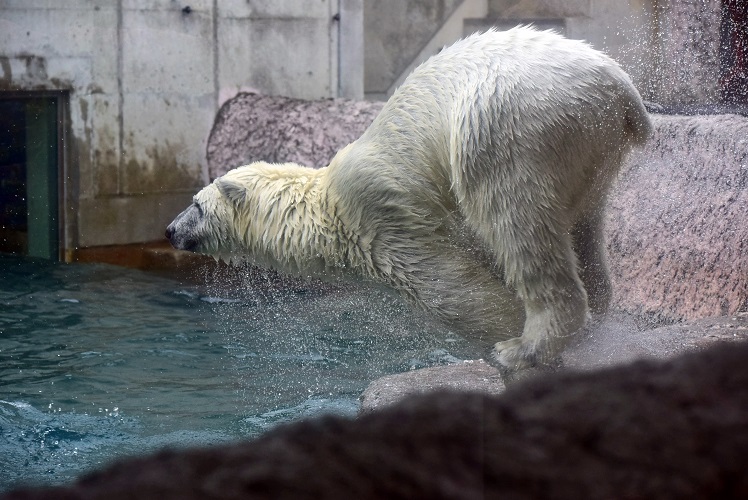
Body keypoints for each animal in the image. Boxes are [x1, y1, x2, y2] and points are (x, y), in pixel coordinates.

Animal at [167, 27, 652, 378]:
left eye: (196, 204)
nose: (170, 230)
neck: (323, 206)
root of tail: (619, 86)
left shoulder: (380, 218)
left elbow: (453, 290)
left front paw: (502, 338)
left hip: (506, 126)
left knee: (514, 219)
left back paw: (524, 348)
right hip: (592, 150)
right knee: (583, 226)